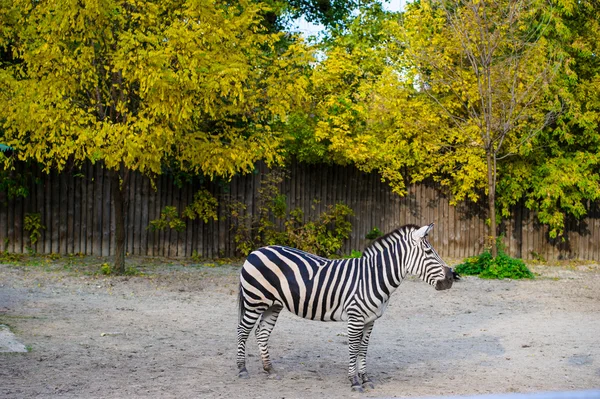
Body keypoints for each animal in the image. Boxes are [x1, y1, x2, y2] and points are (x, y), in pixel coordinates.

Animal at [234, 223, 454, 392]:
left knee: (262, 333)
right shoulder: (355, 317)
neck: (373, 277)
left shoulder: (370, 320)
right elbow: (353, 348)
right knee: (243, 331)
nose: (452, 277)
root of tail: (256, 251)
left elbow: (363, 349)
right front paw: (354, 381)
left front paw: (365, 379)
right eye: (428, 252)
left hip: (273, 305)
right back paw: (242, 370)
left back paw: (269, 370)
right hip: (254, 301)